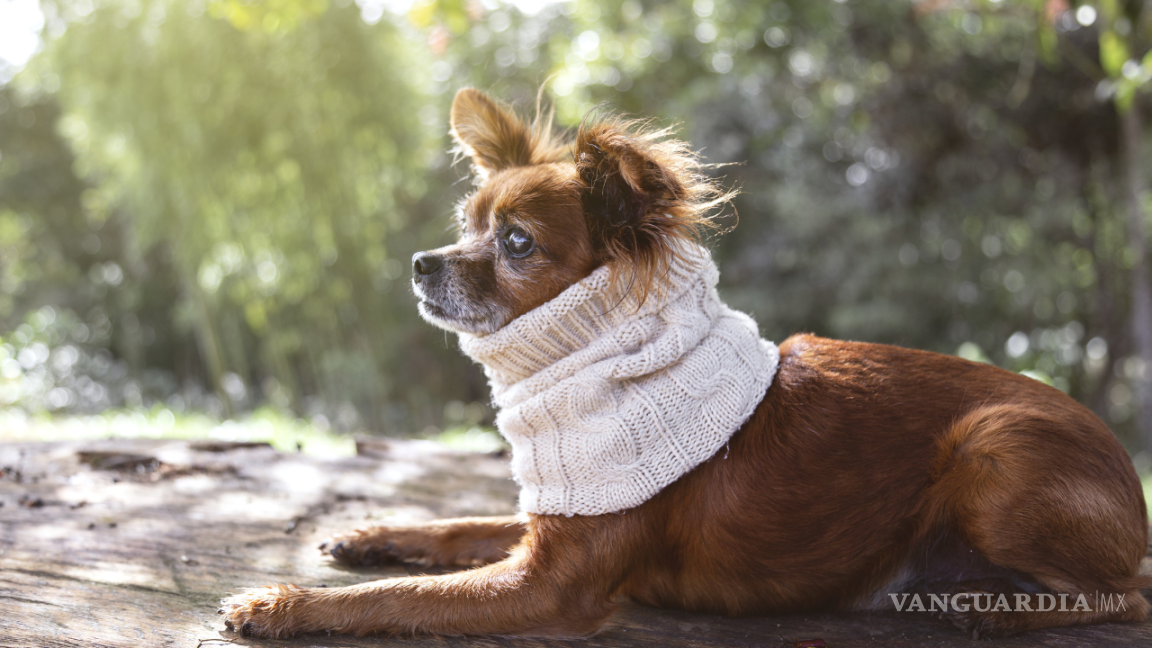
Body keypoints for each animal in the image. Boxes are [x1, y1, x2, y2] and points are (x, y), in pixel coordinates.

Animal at [220, 88, 1147, 636]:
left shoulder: (549, 586)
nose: (421, 263)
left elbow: (400, 601)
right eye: (467, 224)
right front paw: (372, 532)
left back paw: (991, 608)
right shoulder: (555, 515)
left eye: (515, 243)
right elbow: (456, 527)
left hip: (992, 447)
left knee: (1126, 594)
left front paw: (280, 601)